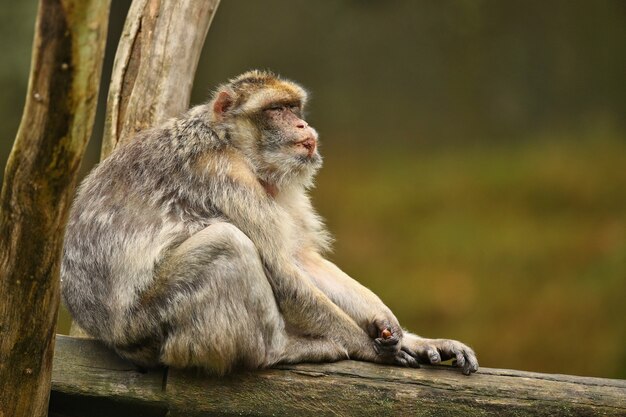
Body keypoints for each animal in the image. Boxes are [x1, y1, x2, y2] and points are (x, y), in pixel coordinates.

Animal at [61, 69, 476, 374]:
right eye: (277, 110)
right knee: (226, 243)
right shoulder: (223, 175)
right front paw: (369, 348)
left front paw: (402, 333)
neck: (230, 142)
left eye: (295, 107)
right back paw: (279, 350)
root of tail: (108, 336)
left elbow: (299, 260)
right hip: (148, 327)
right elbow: (280, 269)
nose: (303, 127)